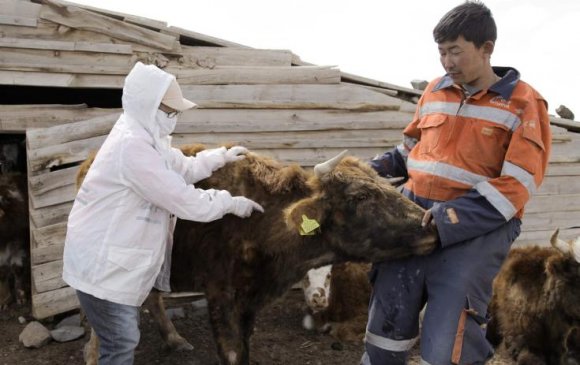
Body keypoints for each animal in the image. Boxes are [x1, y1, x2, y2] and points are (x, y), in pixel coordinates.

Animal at [79, 146, 438, 364]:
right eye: (361, 195)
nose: (430, 224)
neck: (265, 222)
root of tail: (90, 160)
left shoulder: (250, 299)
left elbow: (246, 345)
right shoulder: (221, 294)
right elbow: (233, 352)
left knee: (151, 296)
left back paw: (174, 339)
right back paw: (95, 353)